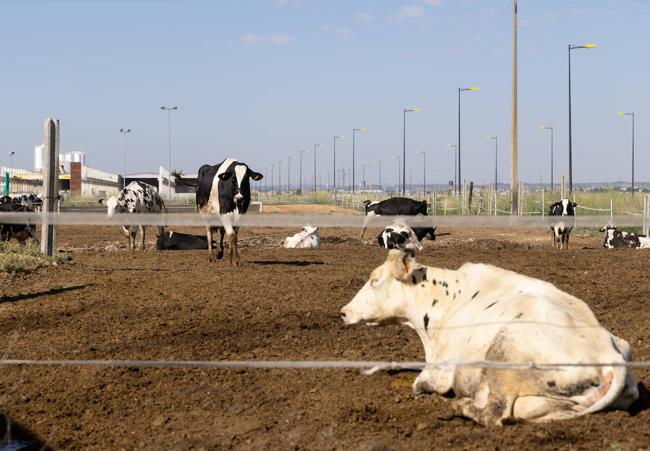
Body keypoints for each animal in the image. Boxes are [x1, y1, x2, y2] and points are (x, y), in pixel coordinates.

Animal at [340, 251, 636, 428]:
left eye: (375, 280)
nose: (343, 311)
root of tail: (609, 355)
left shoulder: (439, 372)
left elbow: (419, 383)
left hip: (506, 350)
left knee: (495, 413)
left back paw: (460, 406)